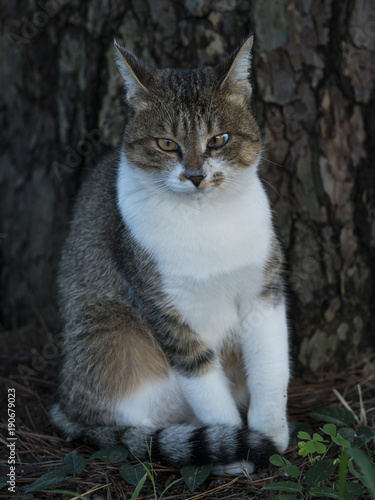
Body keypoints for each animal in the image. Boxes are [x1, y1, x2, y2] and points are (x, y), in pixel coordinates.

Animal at [50, 36, 290, 476]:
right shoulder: (164, 309)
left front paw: (270, 431)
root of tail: (65, 406)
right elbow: (207, 389)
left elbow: (271, 367)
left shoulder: (265, 289)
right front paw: (234, 451)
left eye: (219, 140)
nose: (195, 176)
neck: (206, 219)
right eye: (166, 143)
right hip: (111, 335)